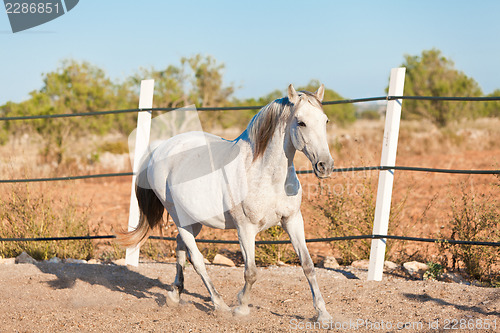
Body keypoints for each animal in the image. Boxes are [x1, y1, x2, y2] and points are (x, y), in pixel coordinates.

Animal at [119, 84, 334, 320]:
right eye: (301, 122)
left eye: (325, 121)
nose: (325, 166)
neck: (267, 175)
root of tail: (160, 148)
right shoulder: (245, 229)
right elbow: (251, 272)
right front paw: (241, 308)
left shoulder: (292, 220)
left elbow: (308, 265)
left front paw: (323, 314)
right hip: (179, 217)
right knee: (196, 259)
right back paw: (219, 304)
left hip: (195, 221)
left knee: (180, 248)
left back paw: (175, 295)